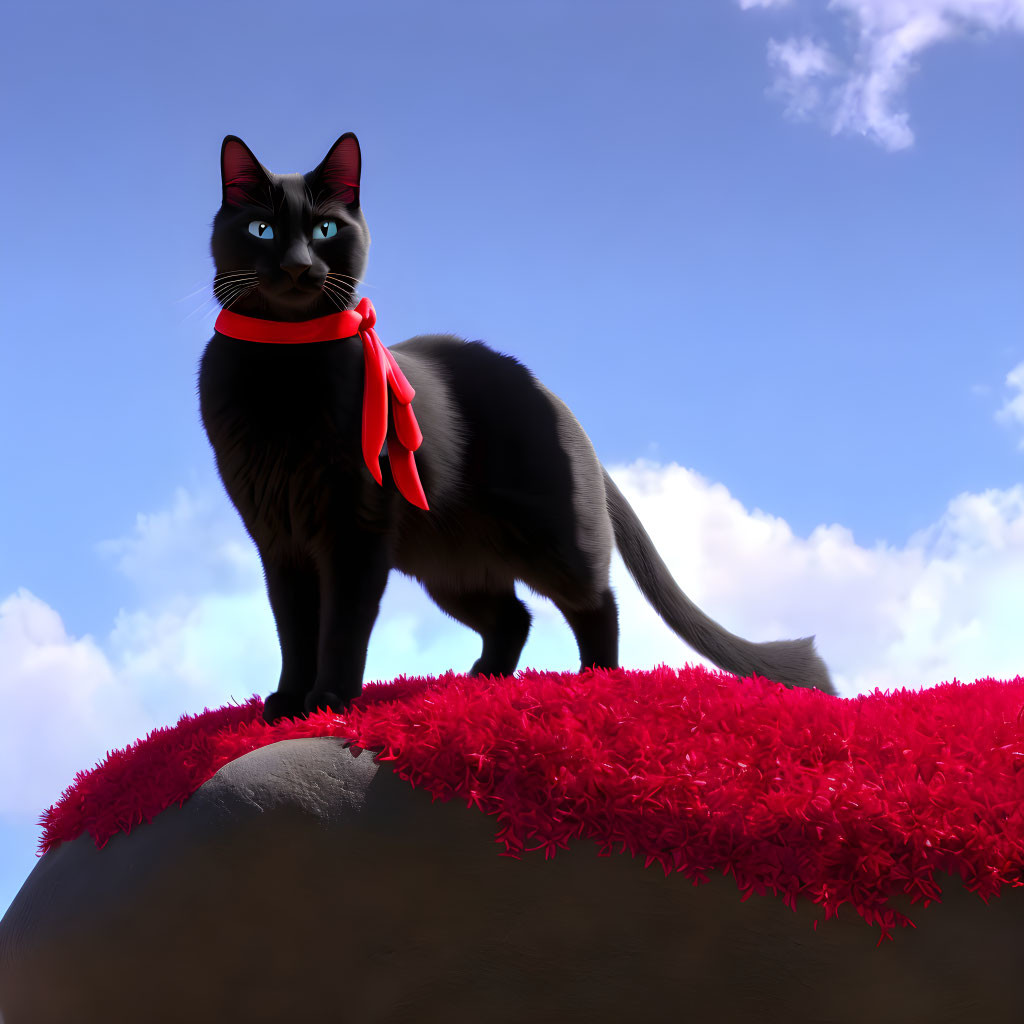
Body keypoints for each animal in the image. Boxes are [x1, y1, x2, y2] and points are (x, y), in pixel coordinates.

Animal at [197, 132, 831, 720]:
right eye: (261, 230)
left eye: (325, 230)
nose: (298, 265)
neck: (286, 372)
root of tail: (558, 402)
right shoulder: (276, 537)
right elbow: (293, 628)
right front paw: (287, 703)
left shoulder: (355, 528)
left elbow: (341, 626)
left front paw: (327, 702)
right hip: (446, 565)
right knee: (514, 616)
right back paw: (479, 682)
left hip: (550, 540)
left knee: (597, 601)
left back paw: (595, 680)